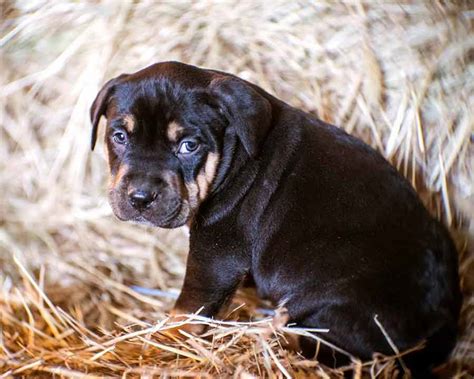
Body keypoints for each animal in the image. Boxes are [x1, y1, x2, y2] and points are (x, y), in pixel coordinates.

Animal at [90, 62, 462, 378]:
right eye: (119, 136)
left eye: (189, 146)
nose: (140, 198)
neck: (233, 153)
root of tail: (444, 317)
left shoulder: (215, 253)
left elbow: (189, 307)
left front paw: (162, 340)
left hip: (335, 309)